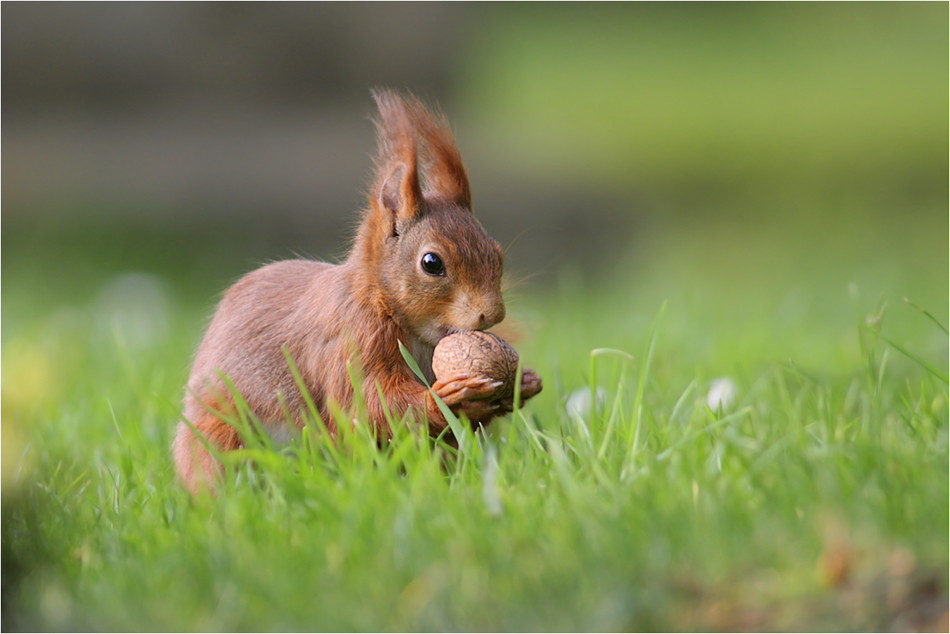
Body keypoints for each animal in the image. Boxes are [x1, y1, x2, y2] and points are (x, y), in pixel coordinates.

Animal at [172, 89, 544, 492]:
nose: (492, 314)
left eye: (497, 253)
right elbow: (368, 405)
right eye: (432, 263)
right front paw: (446, 397)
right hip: (218, 432)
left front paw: (523, 383)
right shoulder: (350, 342)